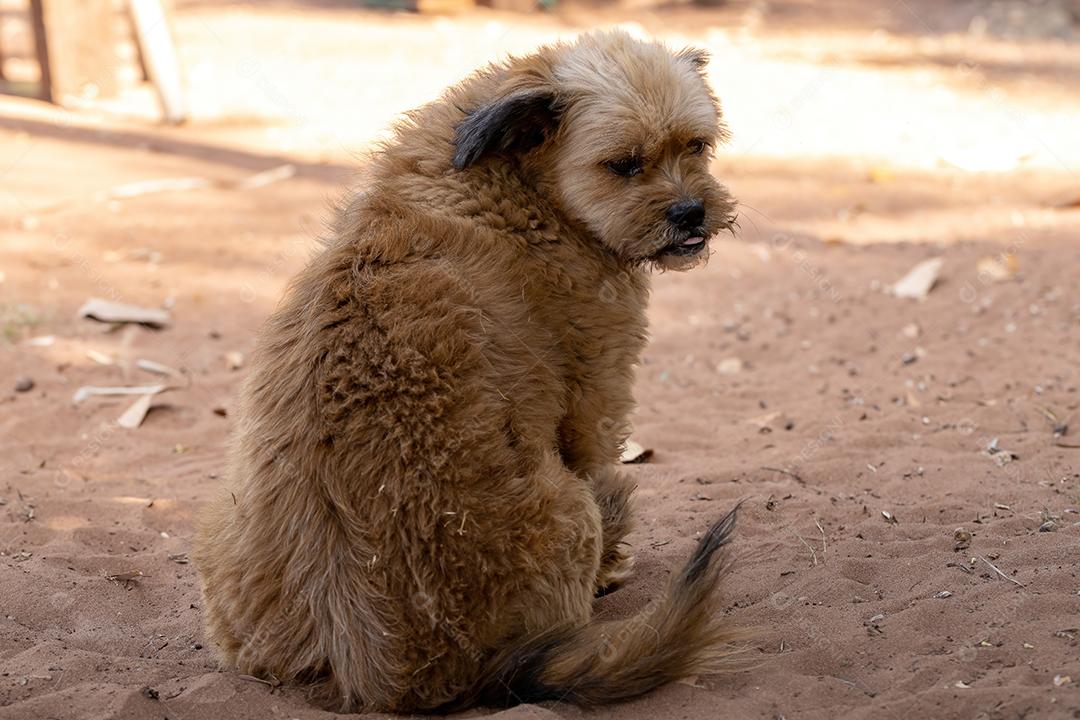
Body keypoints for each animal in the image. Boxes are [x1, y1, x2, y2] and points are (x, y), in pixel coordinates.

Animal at [194, 29, 743, 716]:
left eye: (697, 145)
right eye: (623, 165)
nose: (692, 212)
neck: (515, 182)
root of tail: (398, 675)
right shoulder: (597, 399)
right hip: (570, 513)